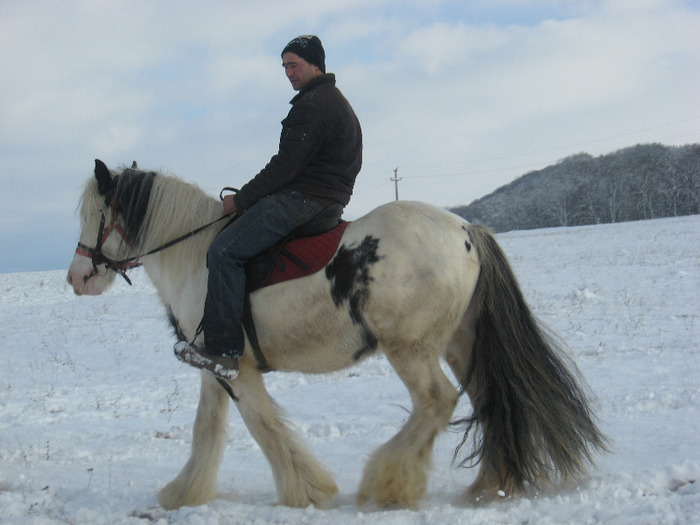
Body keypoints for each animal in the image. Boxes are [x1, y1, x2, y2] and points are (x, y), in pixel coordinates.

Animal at [67, 159, 608, 508]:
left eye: (96, 214)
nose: (77, 278)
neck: (197, 256)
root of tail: (466, 231)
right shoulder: (216, 366)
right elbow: (207, 429)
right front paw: (184, 493)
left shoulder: (237, 369)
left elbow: (263, 427)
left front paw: (307, 491)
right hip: (461, 344)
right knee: (491, 398)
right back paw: (490, 484)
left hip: (410, 349)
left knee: (437, 401)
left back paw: (388, 482)